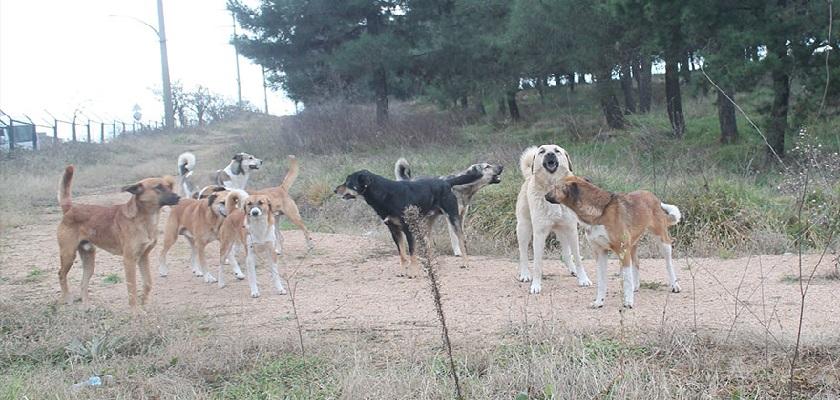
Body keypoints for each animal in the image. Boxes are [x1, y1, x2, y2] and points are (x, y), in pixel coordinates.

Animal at [57, 164, 180, 310]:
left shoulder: (143, 257)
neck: (144, 219)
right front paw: (136, 311)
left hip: (89, 260)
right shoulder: (129, 260)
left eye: (169, 186)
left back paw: (86, 306)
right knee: (61, 274)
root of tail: (70, 208)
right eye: (158, 187)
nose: (178, 197)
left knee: (83, 283)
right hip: (68, 255)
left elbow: (148, 283)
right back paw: (67, 299)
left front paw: (144, 303)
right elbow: (132, 288)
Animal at [334, 169, 480, 278]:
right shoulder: (394, 231)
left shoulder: (408, 230)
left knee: (461, 240)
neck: (385, 193)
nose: (334, 190)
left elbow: (412, 253)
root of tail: (446, 182)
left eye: (349, 182)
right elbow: (403, 255)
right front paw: (403, 271)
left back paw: (465, 263)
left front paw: (413, 273)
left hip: (453, 218)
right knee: (429, 244)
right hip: (427, 222)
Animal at [512, 145, 592, 294]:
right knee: (523, 254)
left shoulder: (572, 230)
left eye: (556, 150)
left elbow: (578, 258)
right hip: (524, 228)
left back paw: (573, 270)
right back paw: (525, 274)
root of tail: (528, 177)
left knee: (566, 254)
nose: (549, 154)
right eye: (542, 151)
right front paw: (536, 285)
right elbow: (537, 264)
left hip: (562, 232)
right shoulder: (539, 234)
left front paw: (583, 279)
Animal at [544, 176, 684, 310]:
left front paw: (628, 302)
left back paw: (674, 285)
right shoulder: (600, 253)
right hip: (632, 245)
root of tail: (652, 195)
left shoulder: (622, 251)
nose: (545, 195)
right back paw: (636, 286)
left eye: (556, 186)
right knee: (637, 263)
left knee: (668, 264)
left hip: (662, 241)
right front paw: (599, 302)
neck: (599, 213)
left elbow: (626, 279)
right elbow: (602, 282)